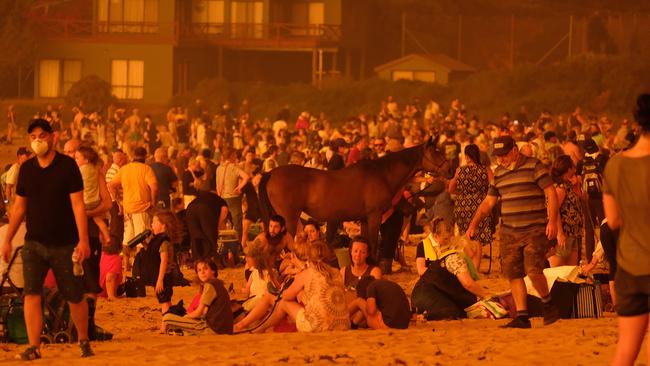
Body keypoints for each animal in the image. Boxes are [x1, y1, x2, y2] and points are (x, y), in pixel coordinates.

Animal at [256, 137, 448, 254]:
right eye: (435, 152)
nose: (450, 169)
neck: (381, 174)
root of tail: (271, 173)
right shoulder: (374, 216)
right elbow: (373, 242)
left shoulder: (364, 219)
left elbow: (366, 242)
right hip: (289, 218)